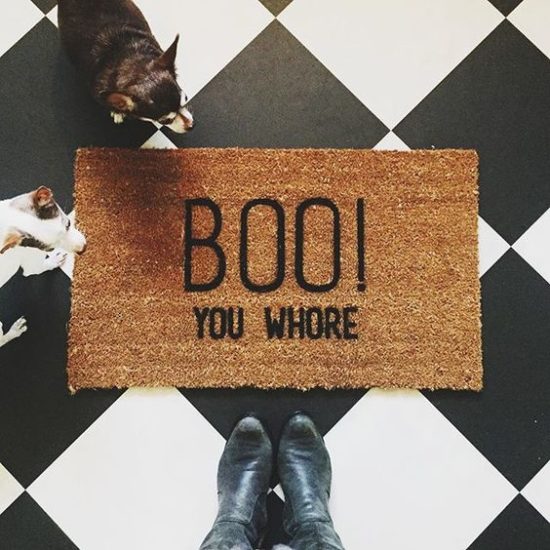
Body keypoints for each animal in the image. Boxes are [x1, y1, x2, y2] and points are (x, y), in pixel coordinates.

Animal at [0, 186, 86, 348]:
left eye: (68, 224)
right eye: (49, 248)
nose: (83, 249)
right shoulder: (30, 266)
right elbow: (44, 265)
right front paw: (54, 260)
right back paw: (15, 331)